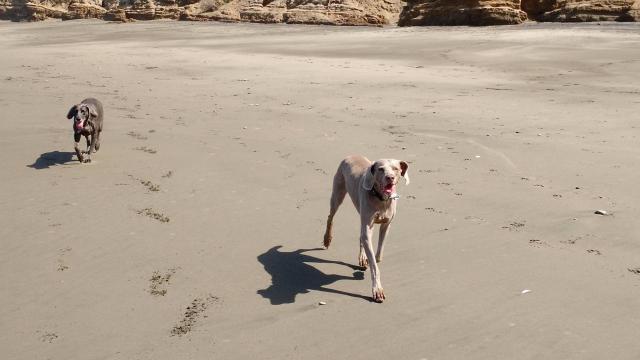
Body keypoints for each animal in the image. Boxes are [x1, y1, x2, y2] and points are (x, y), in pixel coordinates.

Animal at [324, 156, 410, 302]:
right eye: (381, 169)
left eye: (396, 169)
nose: (390, 177)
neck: (382, 199)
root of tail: (350, 155)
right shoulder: (368, 223)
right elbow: (374, 264)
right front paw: (377, 289)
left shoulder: (386, 224)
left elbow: (378, 256)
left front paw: (369, 260)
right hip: (338, 193)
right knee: (331, 216)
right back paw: (327, 239)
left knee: (361, 236)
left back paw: (363, 258)